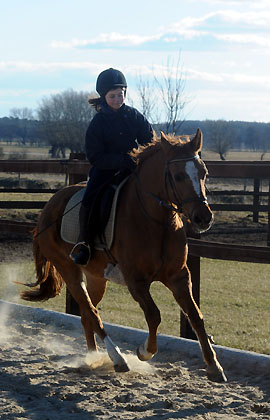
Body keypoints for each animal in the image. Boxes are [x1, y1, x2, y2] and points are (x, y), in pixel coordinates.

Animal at [21, 130, 227, 382]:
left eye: (204, 173)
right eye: (178, 176)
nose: (203, 218)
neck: (157, 221)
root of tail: (48, 208)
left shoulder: (179, 276)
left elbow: (195, 315)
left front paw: (214, 366)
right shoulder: (136, 281)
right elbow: (154, 315)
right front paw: (144, 351)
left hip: (97, 277)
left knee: (87, 314)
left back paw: (93, 357)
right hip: (69, 271)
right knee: (91, 312)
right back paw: (118, 359)